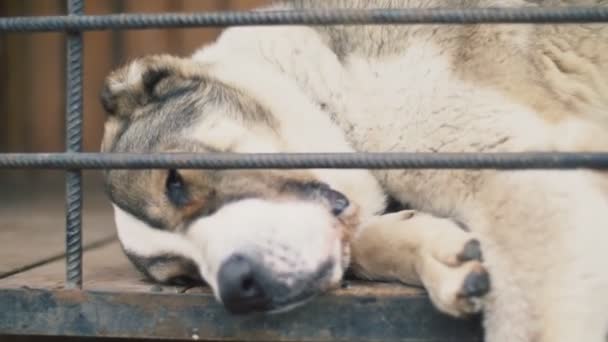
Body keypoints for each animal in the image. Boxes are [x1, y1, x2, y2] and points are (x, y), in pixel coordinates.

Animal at [98, 1, 608, 340]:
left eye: (174, 182)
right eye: (183, 278)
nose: (241, 290)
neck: (323, 86)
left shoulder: (525, 172)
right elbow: (363, 237)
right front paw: (435, 254)